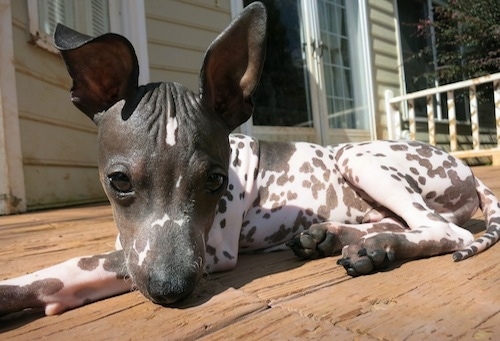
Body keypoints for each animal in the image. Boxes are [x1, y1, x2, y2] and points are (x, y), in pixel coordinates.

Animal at [0, 3, 498, 316]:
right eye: (118, 180)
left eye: (216, 180)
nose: (170, 291)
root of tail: (469, 172)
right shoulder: (141, 245)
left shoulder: (210, 250)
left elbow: (67, 268)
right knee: (405, 223)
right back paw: (345, 240)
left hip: (361, 158)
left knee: (442, 229)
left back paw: (372, 246)